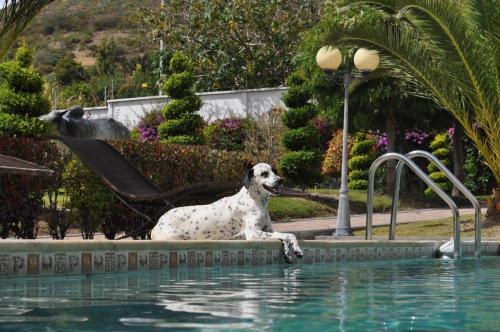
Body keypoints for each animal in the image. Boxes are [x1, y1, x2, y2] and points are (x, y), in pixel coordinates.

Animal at [150, 163, 302, 262]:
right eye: (264, 174)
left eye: (274, 171)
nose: (281, 180)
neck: (256, 201)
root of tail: (158, 222)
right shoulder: (253, 233)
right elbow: (285, 237)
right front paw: (289, 251)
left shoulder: (268, 229)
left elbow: (290, 235)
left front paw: (296, 250)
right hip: (177, 236)